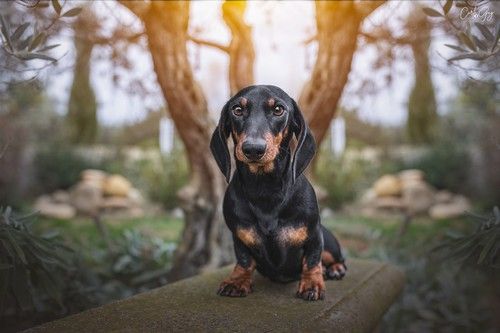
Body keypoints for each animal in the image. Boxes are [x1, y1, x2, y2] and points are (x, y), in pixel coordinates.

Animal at [209, 84, 346, 300]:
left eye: (278, 109)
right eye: (237, 110)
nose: (253, 149)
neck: (265, 189)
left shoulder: (314, 235)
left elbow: (312, 260)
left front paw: (312, 284)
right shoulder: (238, 236)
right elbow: (244, 260)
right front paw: (237, 280)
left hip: (329, 242)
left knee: (337, 258)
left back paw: (334, 268)